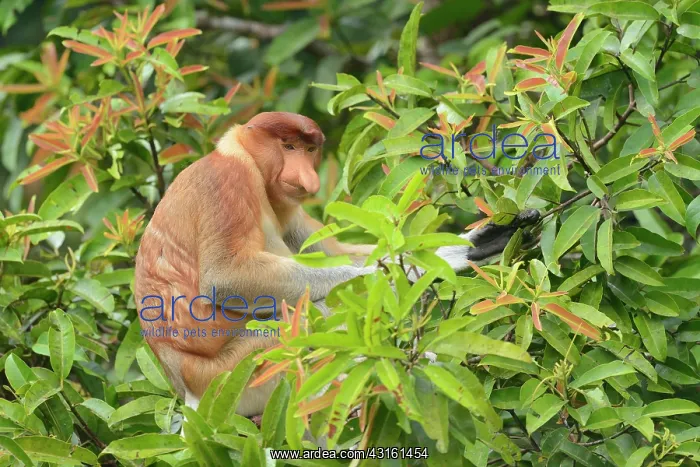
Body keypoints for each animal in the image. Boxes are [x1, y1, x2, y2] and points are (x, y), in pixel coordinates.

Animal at [134, 111, 539, 419]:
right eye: (288, 146)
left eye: (309, 149)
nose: (306, 176)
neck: (246, 160)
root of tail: (186, 390)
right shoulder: (228, 183)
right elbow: (226, 277)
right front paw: (388, 278)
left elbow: (330, 250)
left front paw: (478, 244)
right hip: (236, 374)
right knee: (308, 316)